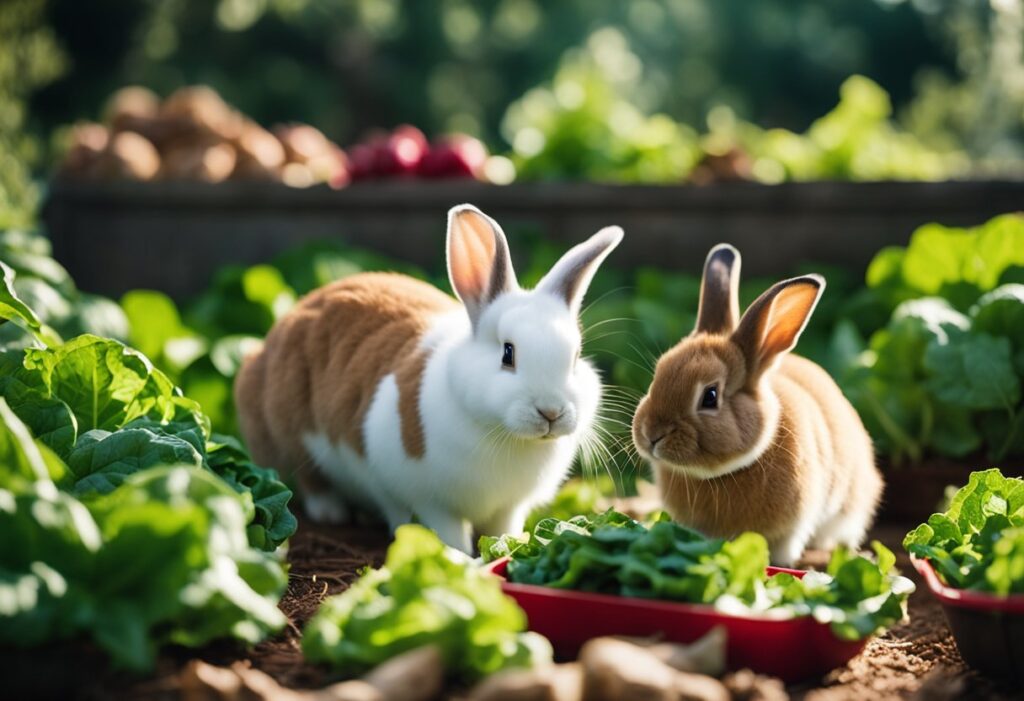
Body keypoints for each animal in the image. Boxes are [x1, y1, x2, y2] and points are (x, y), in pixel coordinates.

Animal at [237, 202, 622, 552]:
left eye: (576, 357)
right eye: (508, 354)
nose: (551, 412)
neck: (507, 437)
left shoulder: (508, 508)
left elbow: (502, 531)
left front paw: (508, 547)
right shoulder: (431, 503)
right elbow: (445, 534)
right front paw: (462, 559)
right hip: (291, 432)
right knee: (309, 479)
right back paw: (332, 511)